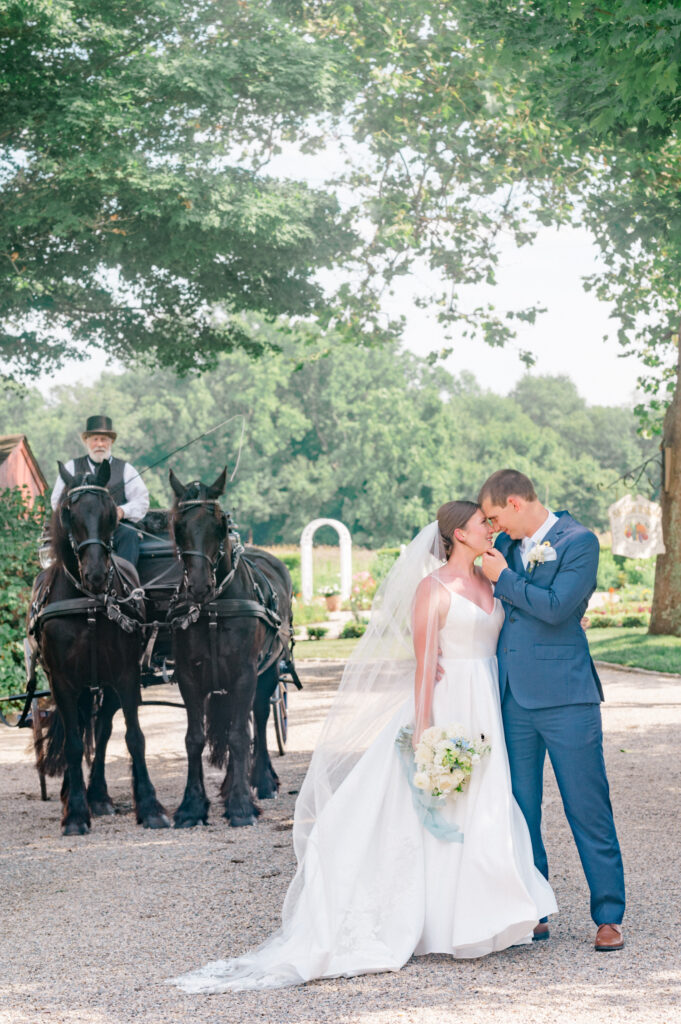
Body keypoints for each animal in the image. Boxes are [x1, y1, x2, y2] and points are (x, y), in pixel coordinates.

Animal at [30, 460, 169, 835]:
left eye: (109, 511)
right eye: (68, 511)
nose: (94, 573)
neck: (89, 603)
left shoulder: (125, 674)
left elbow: (134, 737)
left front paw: (150, 807)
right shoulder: (62, 681)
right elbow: (74, 743)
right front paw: (76, 814)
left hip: (104, 686)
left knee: (104, 730)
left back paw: (100, 796)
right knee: (77, 731)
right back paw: (75, 795)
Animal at [168, 468, 292, 827]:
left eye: (220, 523)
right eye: (177, 525)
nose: (198, 586)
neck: (213, 608)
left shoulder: (245, 673)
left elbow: (239, 735)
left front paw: (241, 806)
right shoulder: (189, 676)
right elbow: (194, 739)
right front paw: (192, 806)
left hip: (268, 671)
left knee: (259, 719)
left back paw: (262, 781)